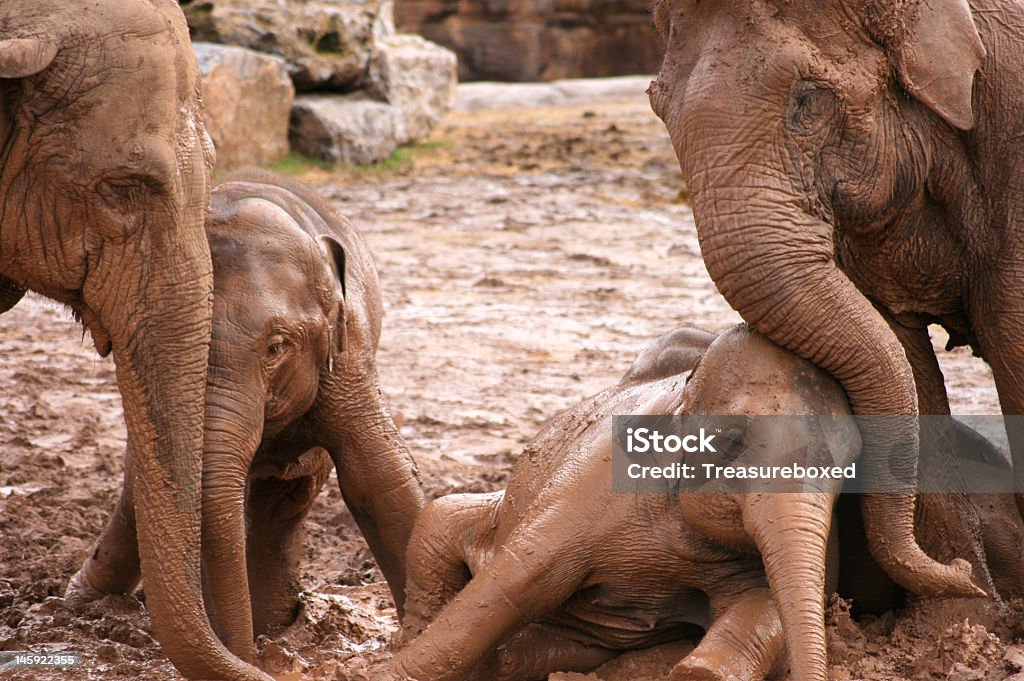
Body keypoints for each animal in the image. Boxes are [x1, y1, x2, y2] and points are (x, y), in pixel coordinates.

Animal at [65, 169, 423, 663]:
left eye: (276, 348)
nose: (255, 660)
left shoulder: (348, 352)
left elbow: (377, 477)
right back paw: (78, 606)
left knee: (286, 499)